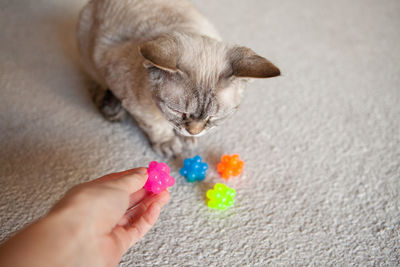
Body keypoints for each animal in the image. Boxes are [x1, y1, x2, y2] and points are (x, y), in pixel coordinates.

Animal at [76, 0, 280, 157]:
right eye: (178, 111)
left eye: (213, 117)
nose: (194, 131)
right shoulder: (131, 98)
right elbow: (155, 124)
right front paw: (168, 142)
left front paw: (187, 138)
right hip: (89, 54)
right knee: (95, 84)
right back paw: (111, 107)